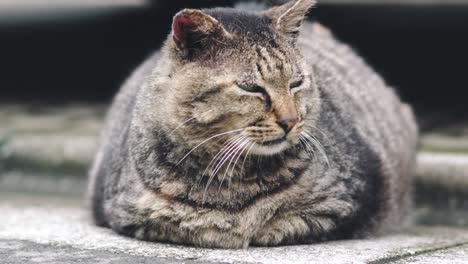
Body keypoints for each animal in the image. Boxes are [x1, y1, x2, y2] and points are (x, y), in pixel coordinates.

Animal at [88, 0, 416, 249]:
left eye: (297, 83)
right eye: (251, 88)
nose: (291, 120)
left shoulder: (343, 203)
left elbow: (280, 224)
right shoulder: (127, 213)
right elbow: (186, 225)